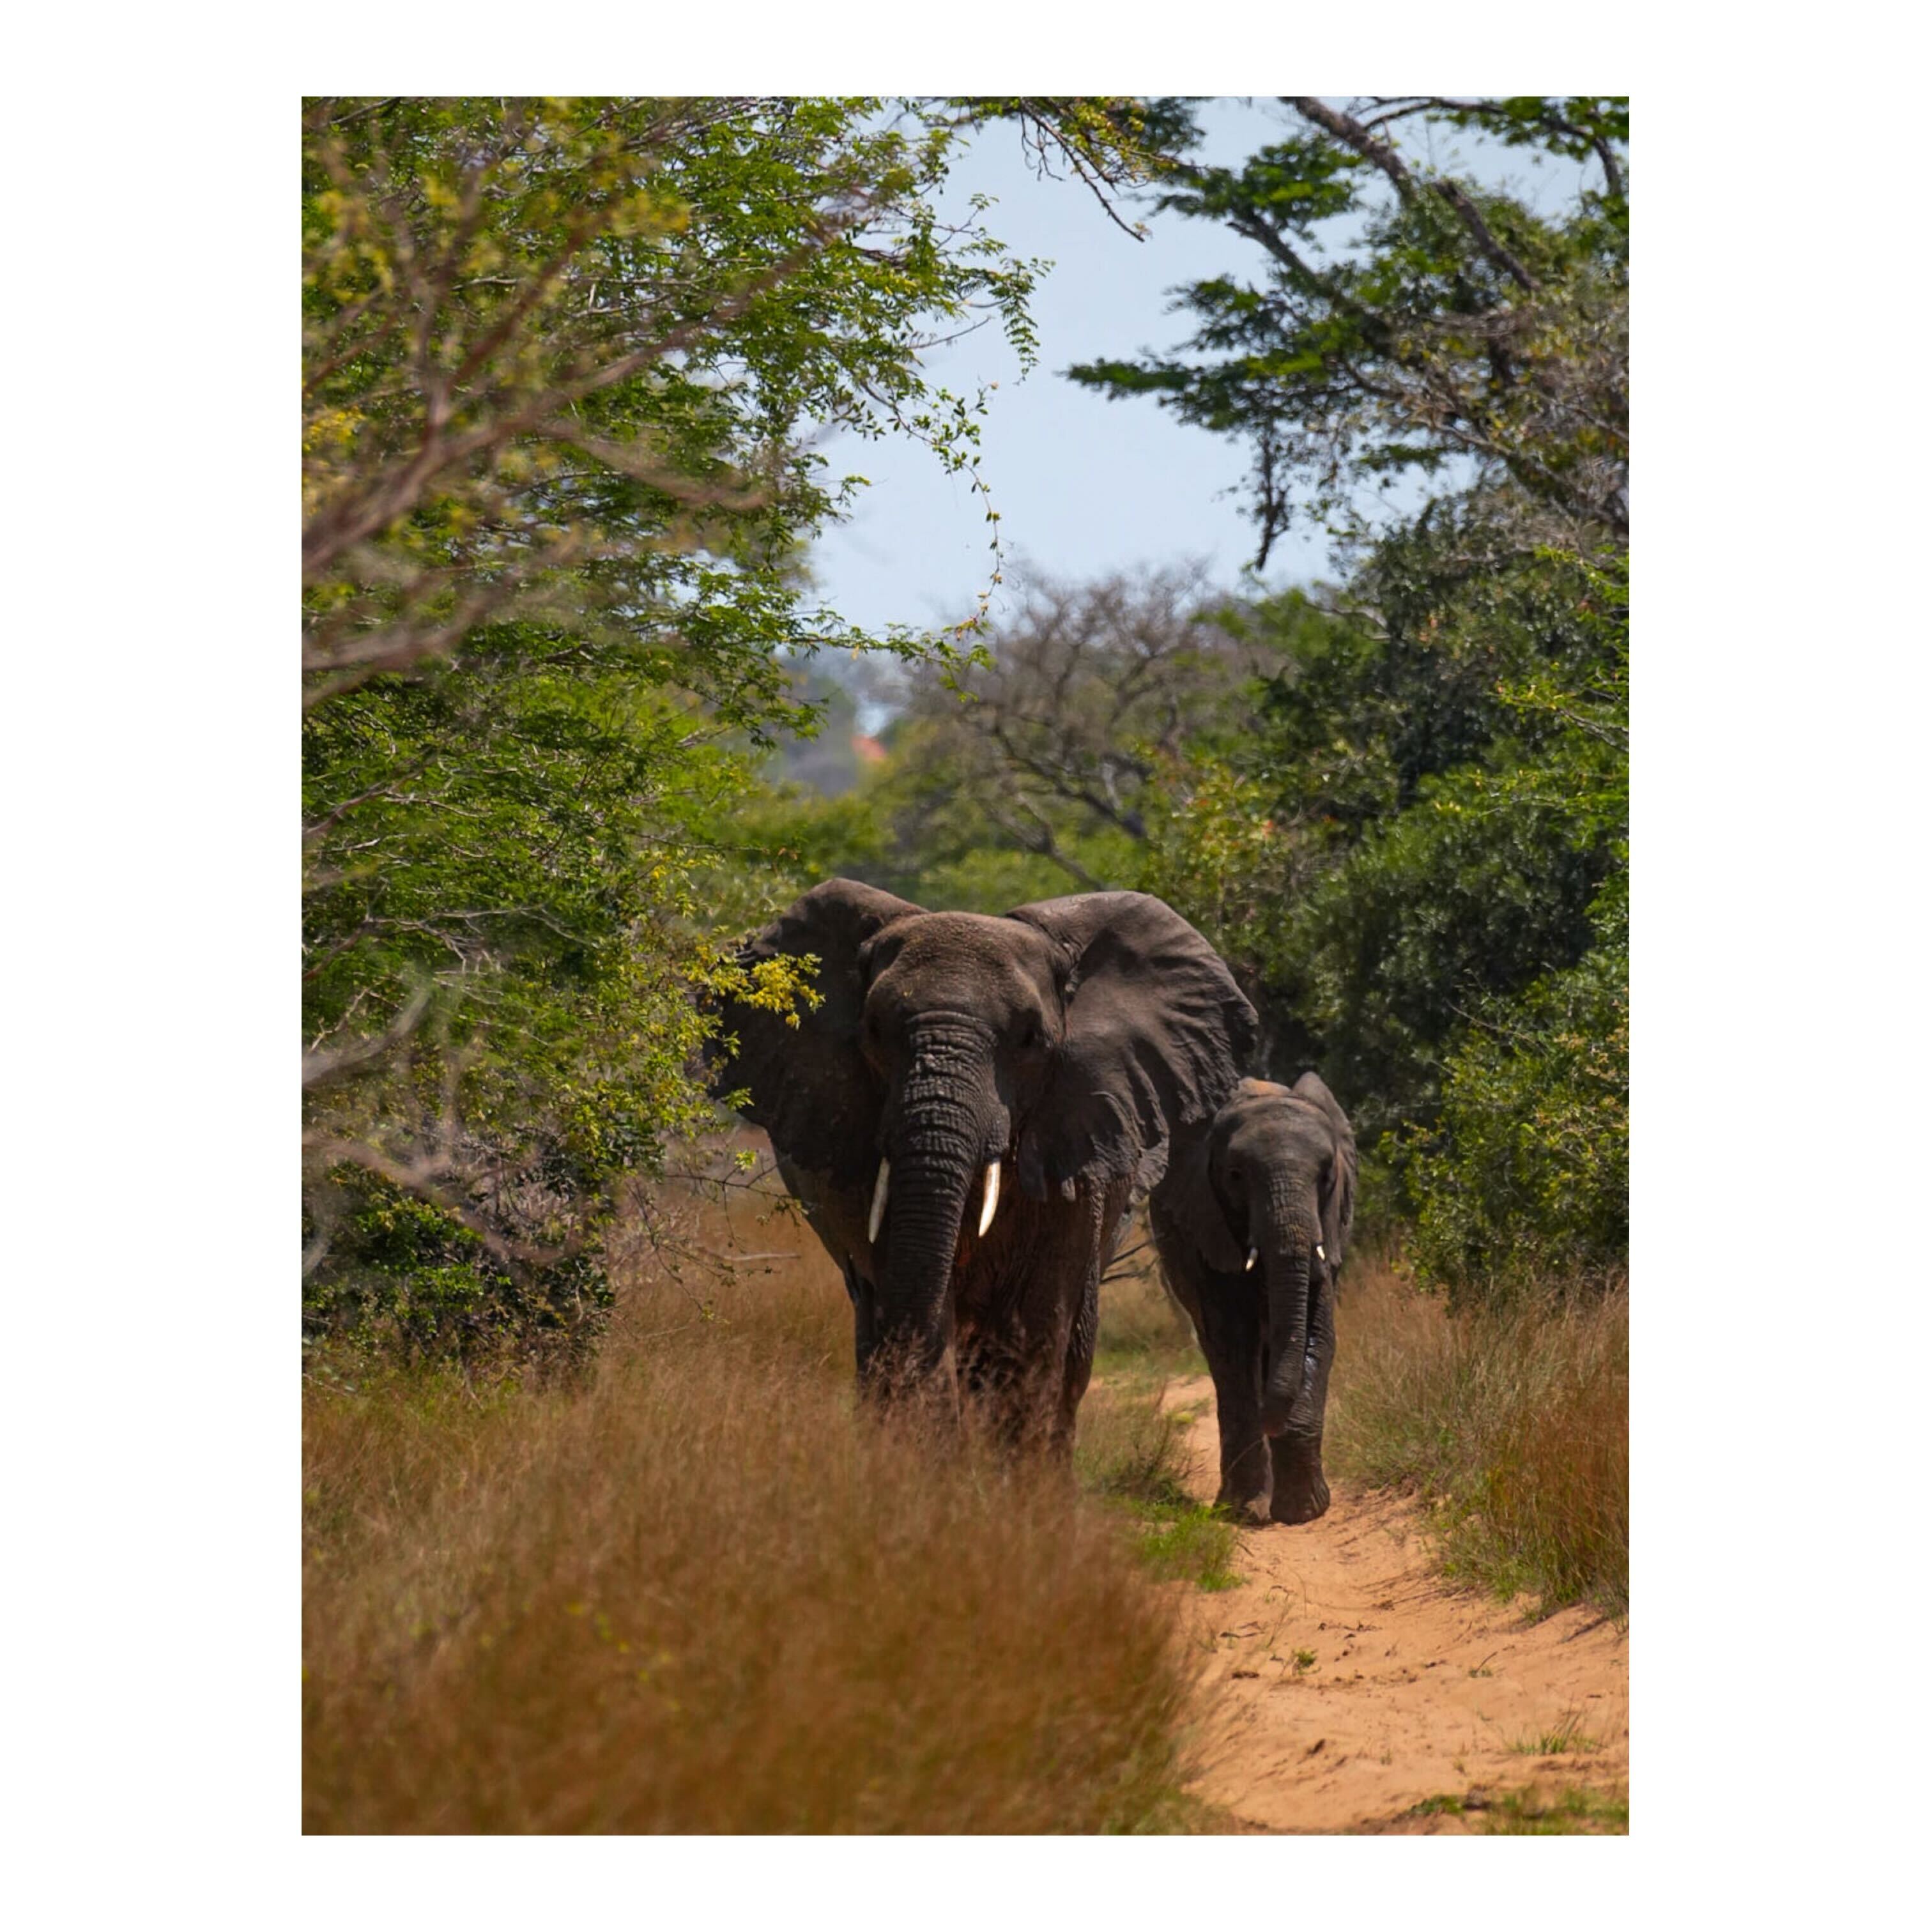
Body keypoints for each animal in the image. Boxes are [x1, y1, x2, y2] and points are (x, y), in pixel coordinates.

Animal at [709, 878, 1258, 1455]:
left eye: (1030, 1039)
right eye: (874, 1030)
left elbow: (1039, 1315)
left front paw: (1007, 1472)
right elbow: (908, 1287)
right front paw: (926, 1458)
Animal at [1149, 1073, 1357, 1524]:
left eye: (1326, 1176)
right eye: (1235, 1175)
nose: (1271, 1423)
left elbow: (1317, 1332)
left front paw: (1303, 1512)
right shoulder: (1205, 1225)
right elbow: (1232, 1343)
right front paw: (1245, 1511)